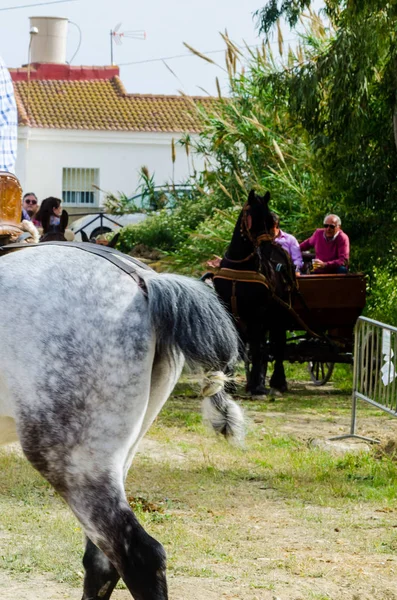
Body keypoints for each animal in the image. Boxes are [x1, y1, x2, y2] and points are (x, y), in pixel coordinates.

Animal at [212, 190, 296, 396]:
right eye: (253, 217)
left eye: (269, 219)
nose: (266, 247)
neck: (239, 265)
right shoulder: (230, 311)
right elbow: (236, 346)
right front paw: (230, 384)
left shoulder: (258, 312)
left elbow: (259, 349)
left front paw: (258, 387)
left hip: (278, 315)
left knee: (277, 345)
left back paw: (277, 381)